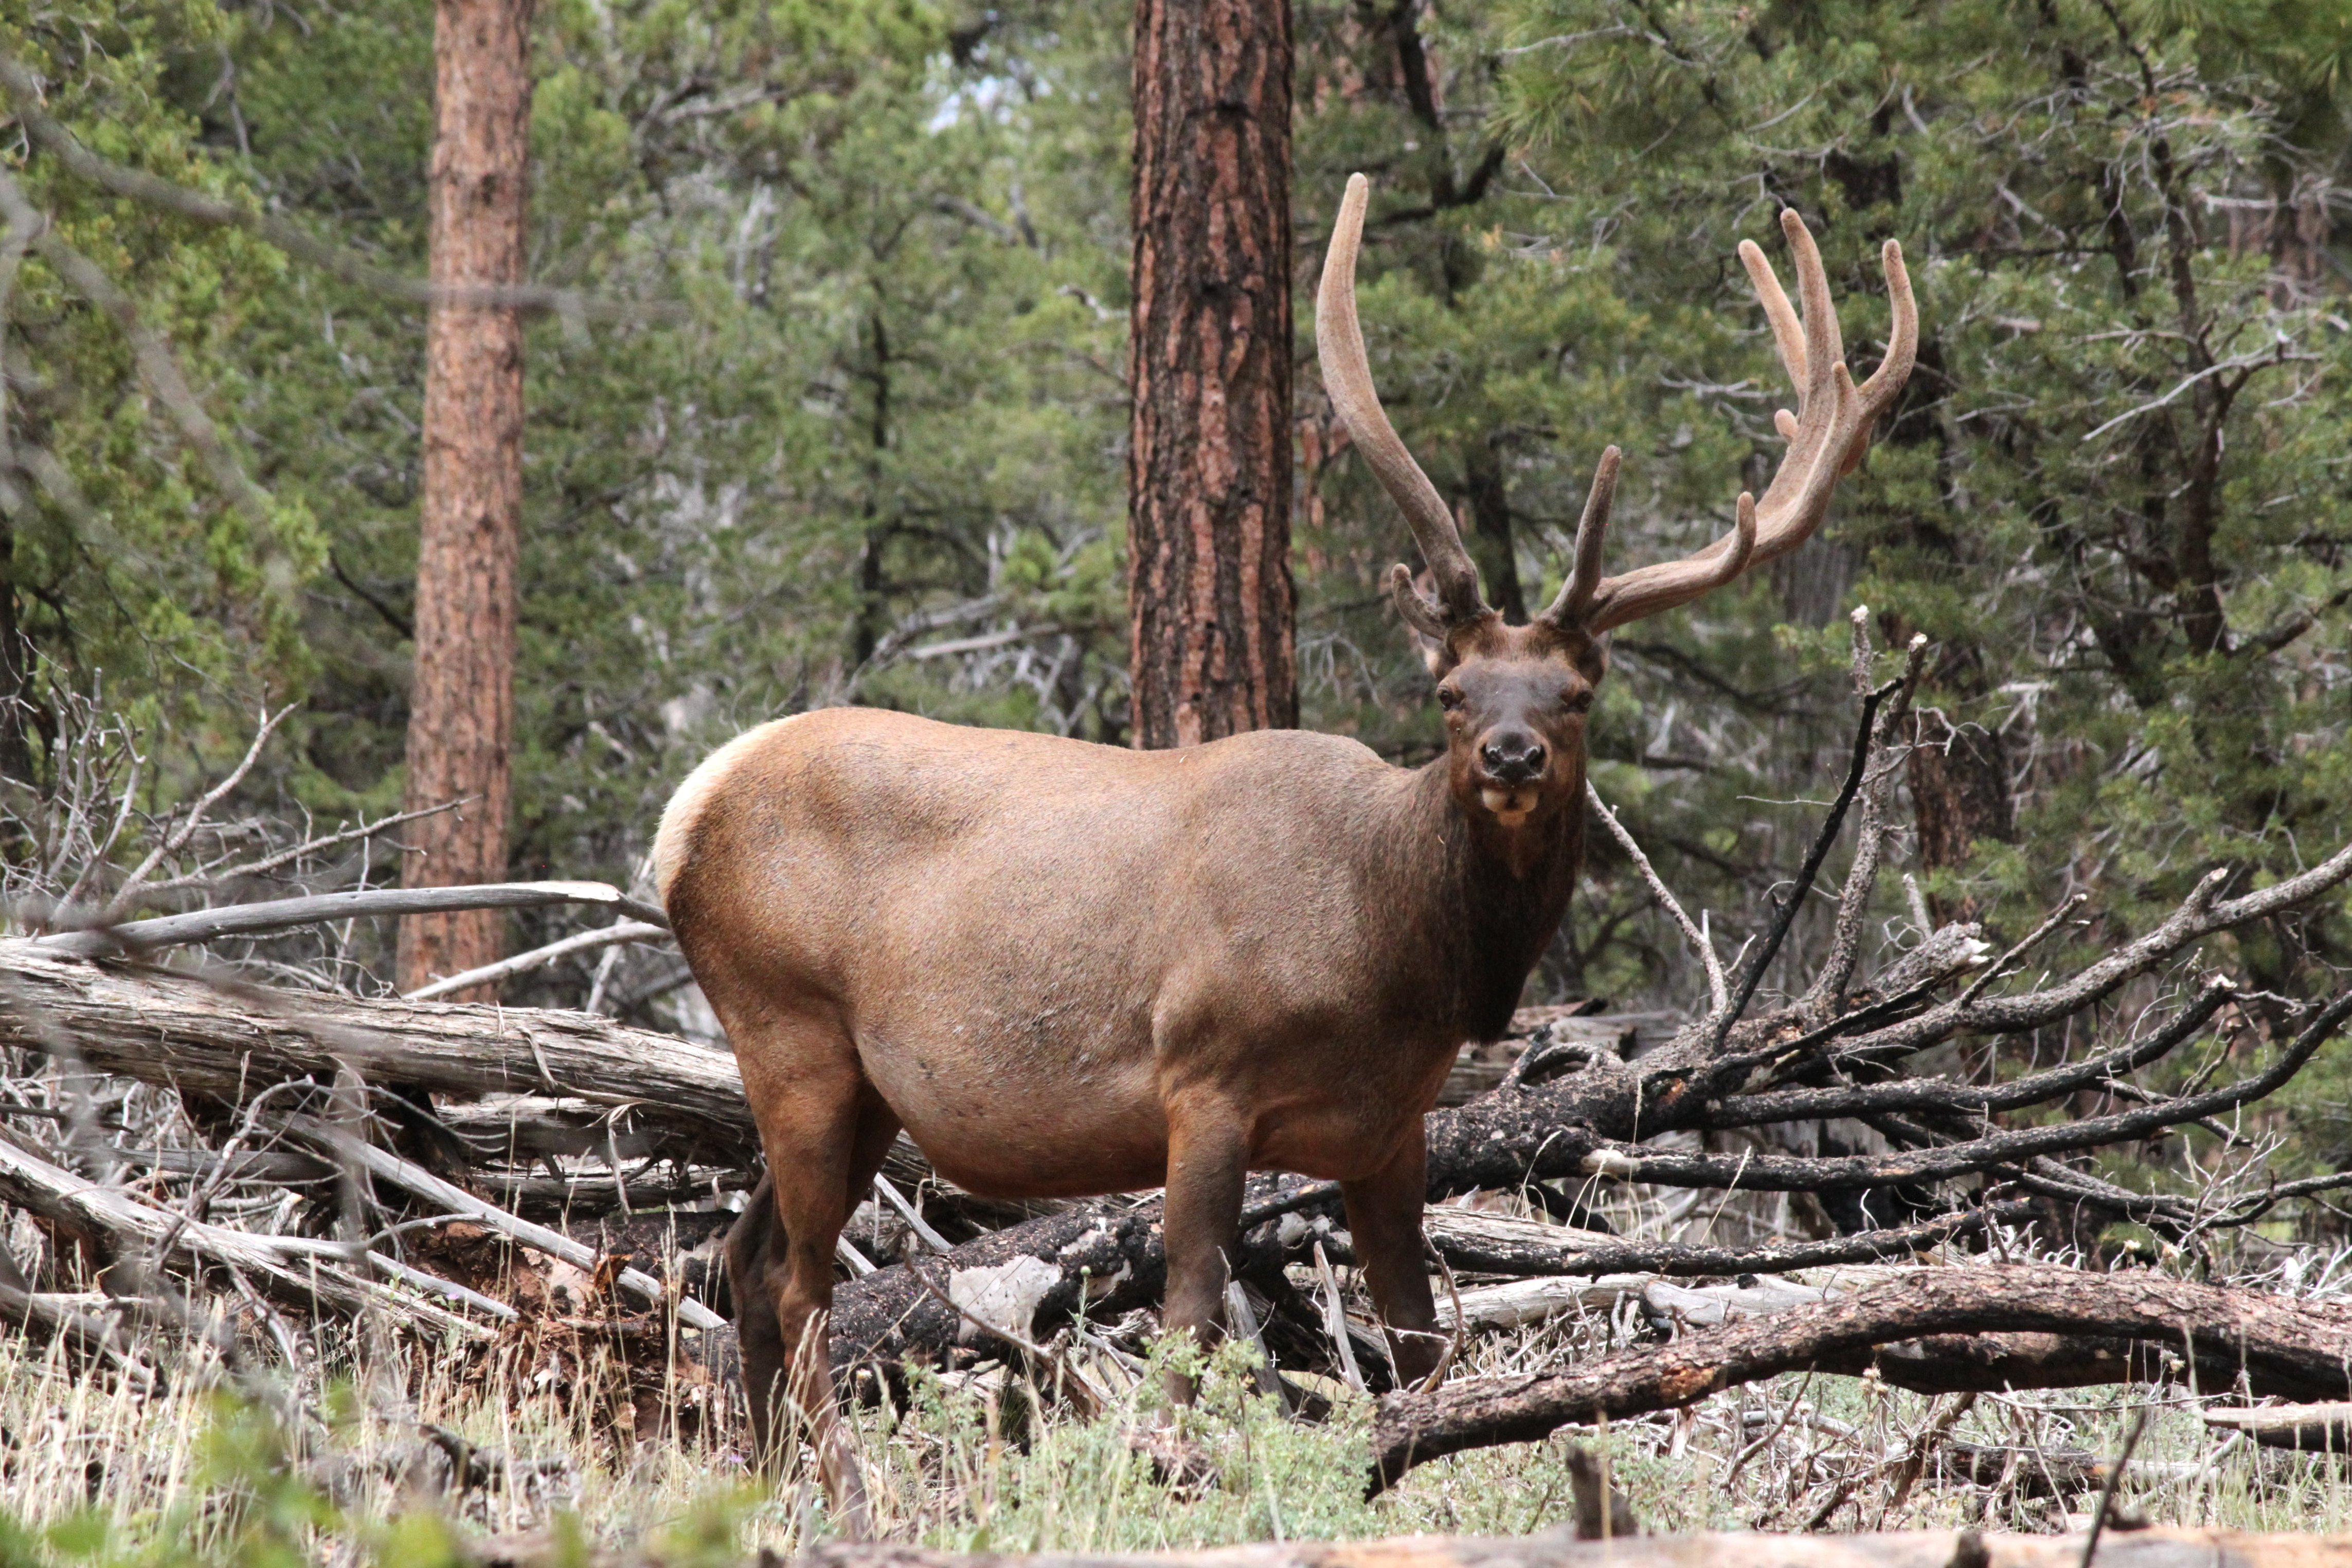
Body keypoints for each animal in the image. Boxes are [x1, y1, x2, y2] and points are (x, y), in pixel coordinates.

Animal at [653, 174, 1914, 1531]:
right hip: (789, 1027)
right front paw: (1172, 1477)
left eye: (1576, 692)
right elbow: (1195, 1316)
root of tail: (684, 815)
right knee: (797, 1280)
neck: (1391, 947)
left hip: (862, 1082)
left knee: (744, 1258)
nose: (1513, 753)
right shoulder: (1202, 1074)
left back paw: (770, 1486)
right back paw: (842, 1497)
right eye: (1452, 691)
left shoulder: (1392, 1129)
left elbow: (1419, 1339)